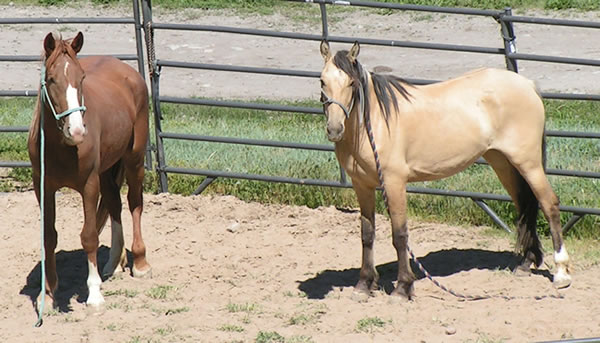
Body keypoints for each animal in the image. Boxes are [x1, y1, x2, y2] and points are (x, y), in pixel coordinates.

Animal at [27, 32, 151, 308]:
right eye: (51, 79)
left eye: (81, 78)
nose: (76, 131)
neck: (62, 147)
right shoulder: (43, 187)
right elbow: (48, 236)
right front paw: (48, 293)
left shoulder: (89, 185)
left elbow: (89, 236)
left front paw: (94, 293)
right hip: (107, 169)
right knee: (114, 203)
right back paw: (114, 263)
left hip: (134, 159)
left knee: (134, 202)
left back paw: (140, 263)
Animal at [318, 39, 572, 298]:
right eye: (322, 81)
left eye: (351, 83)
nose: (335, 129)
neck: (375, 122)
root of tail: (527, 85)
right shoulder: (362, 185)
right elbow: (367, 234)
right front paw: (364, 284)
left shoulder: (394, 182)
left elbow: (400, 235)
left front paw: (402, 288)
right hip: (503, 162)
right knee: (524, 205)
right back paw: (525, 264)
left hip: (528, 162)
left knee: (549, 204)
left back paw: (561, 274)